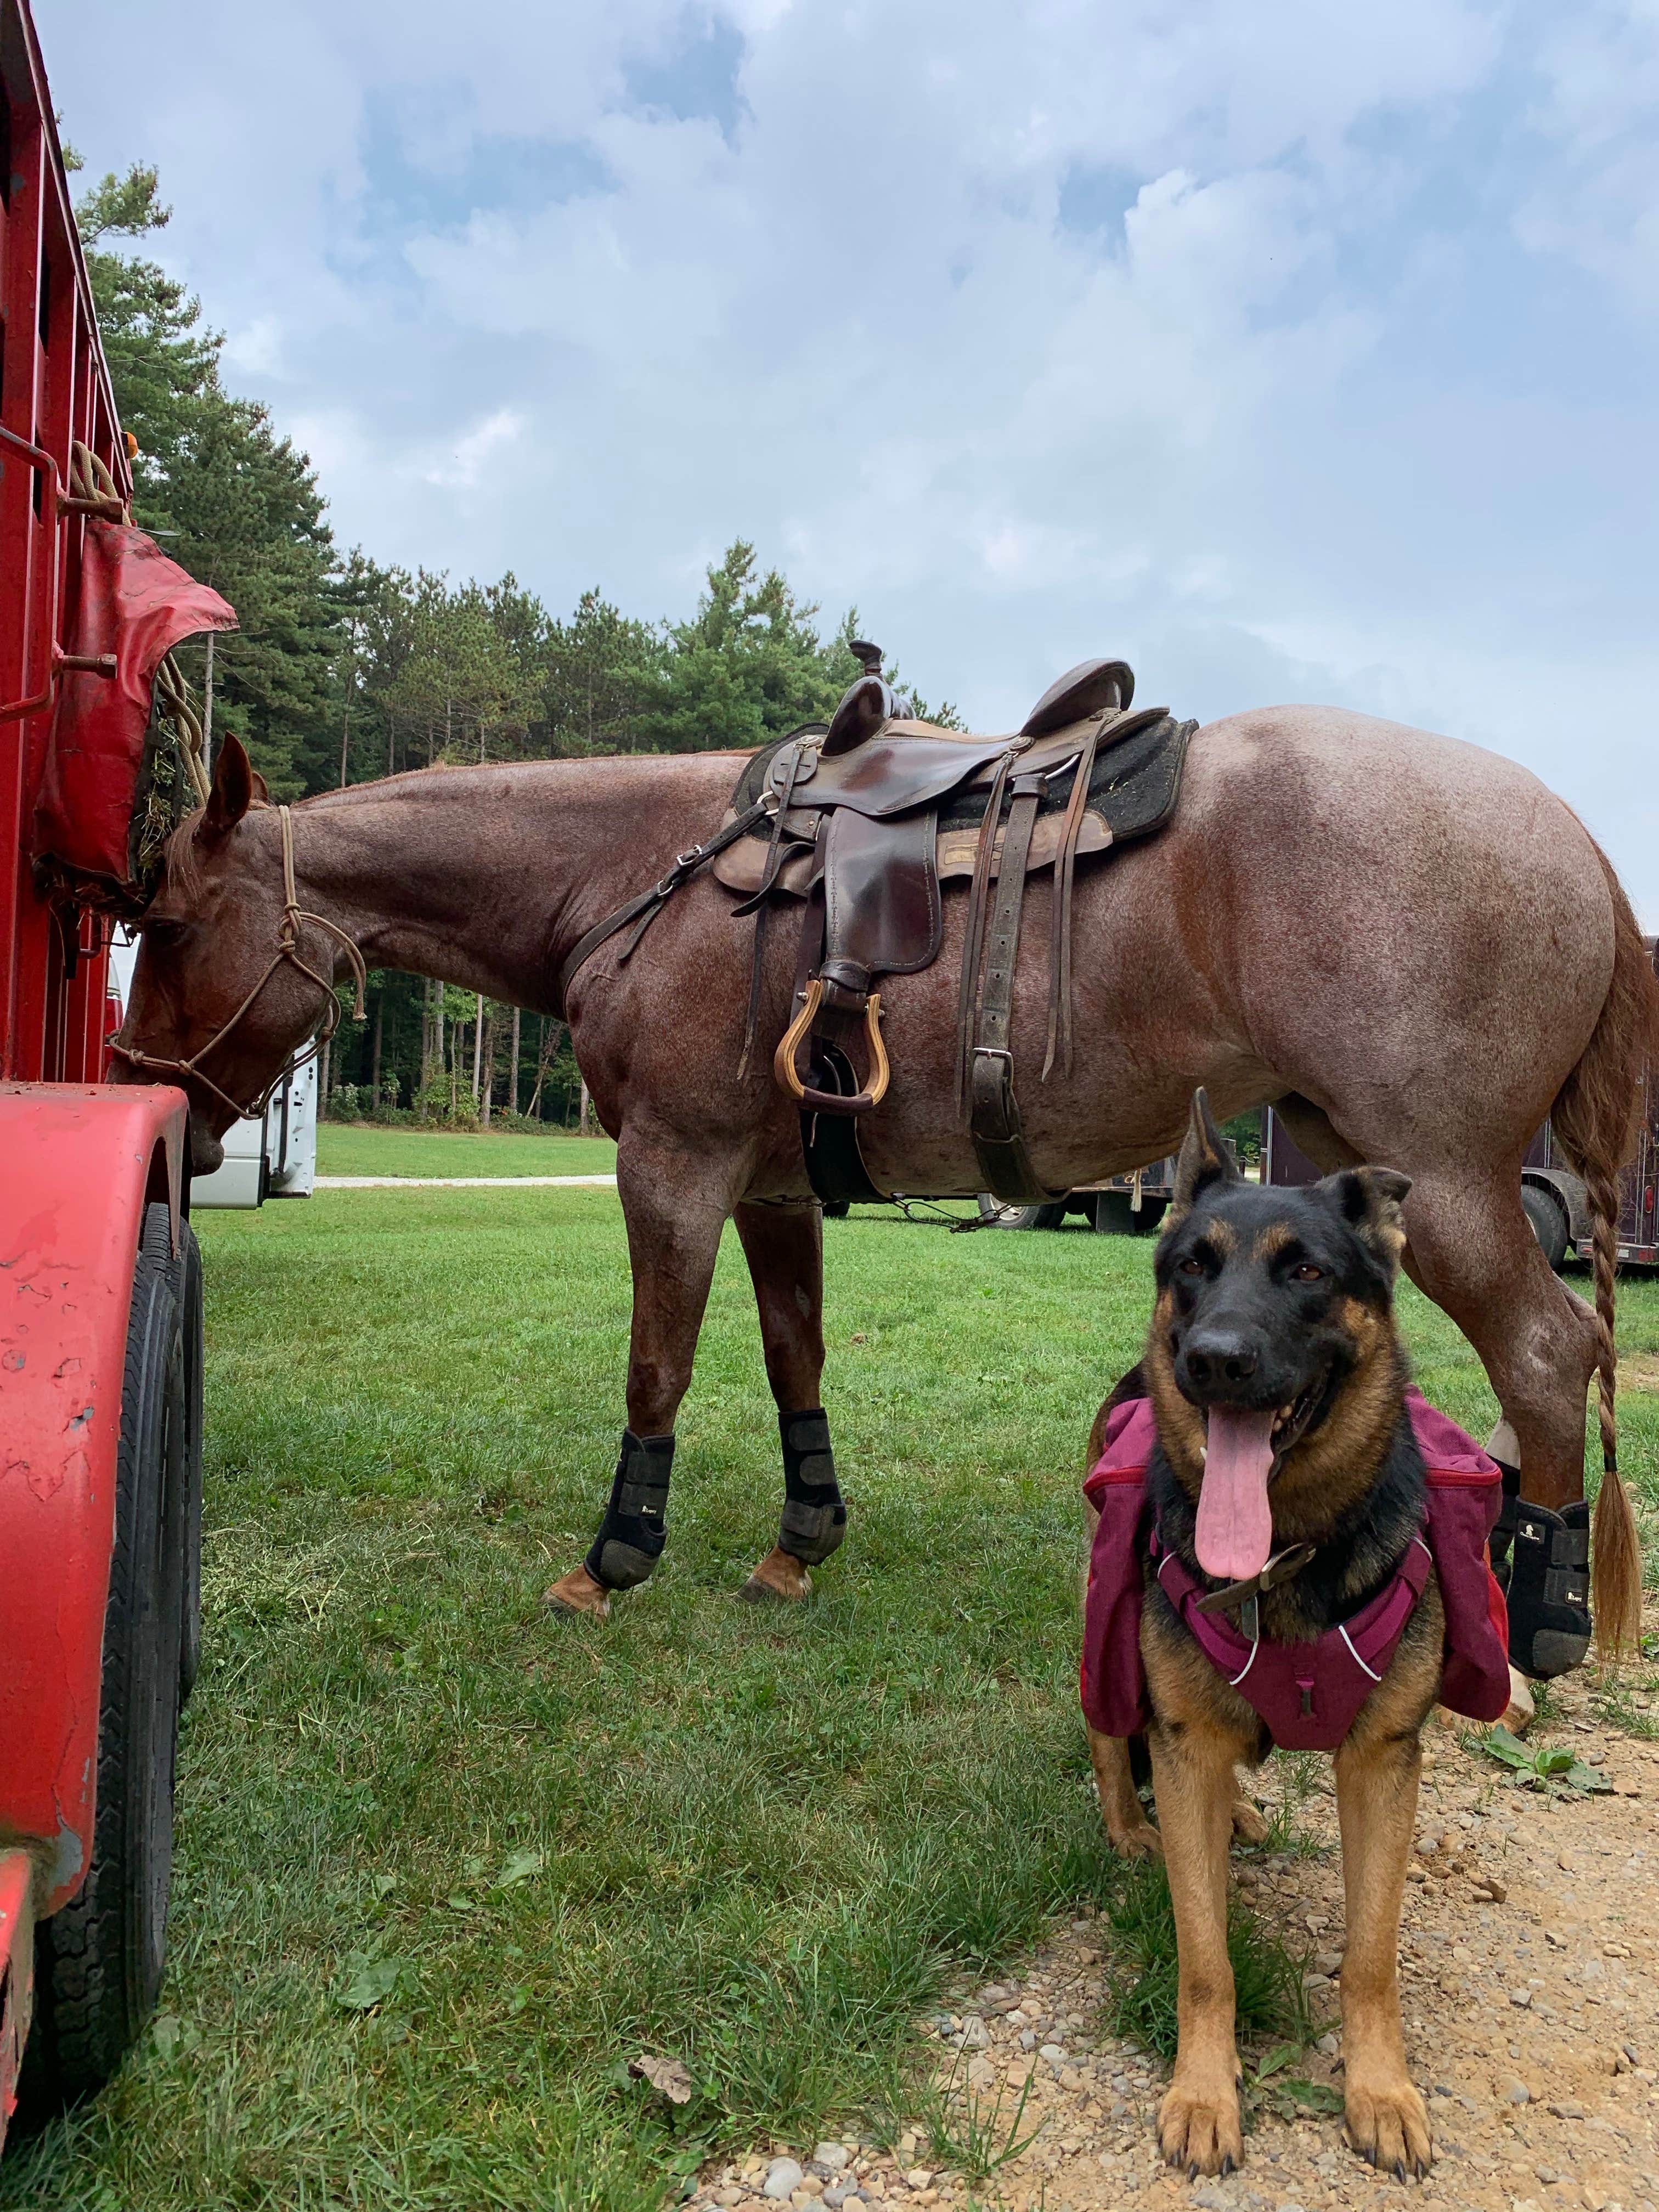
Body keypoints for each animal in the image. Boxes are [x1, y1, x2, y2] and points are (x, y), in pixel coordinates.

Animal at [113, 708, 1651, 1661]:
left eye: (171, 922)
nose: (150, 1094)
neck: (639, 874)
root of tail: (1580, 841)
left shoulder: (671, 1166)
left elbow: (657, 1367)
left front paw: (614, 1558)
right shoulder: (772, 1188)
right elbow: (795, 1356)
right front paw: (802, 1542)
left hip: (1451, 1182)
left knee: (1545, 1352)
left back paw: (1541, 1614)